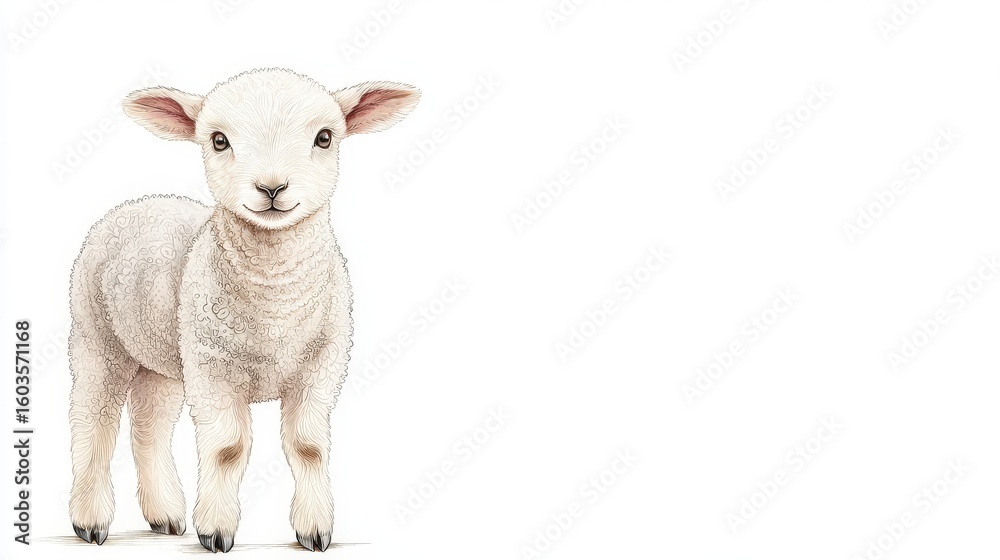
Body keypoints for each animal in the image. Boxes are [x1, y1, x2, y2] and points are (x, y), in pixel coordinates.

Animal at [68, 68, 419, 552]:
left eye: (324, 138)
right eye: (219, 141)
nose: (272, 188)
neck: (275, 308)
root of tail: (140, 203)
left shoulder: (320, 365)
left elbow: (309, 446)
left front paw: (315, 531)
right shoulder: (214, 369)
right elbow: (227, 448)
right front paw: (215, 531)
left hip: (165, 356)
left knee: (148, 426)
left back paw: (165, 514)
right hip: (97, 336)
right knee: (93, 421)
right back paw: (90, 520)